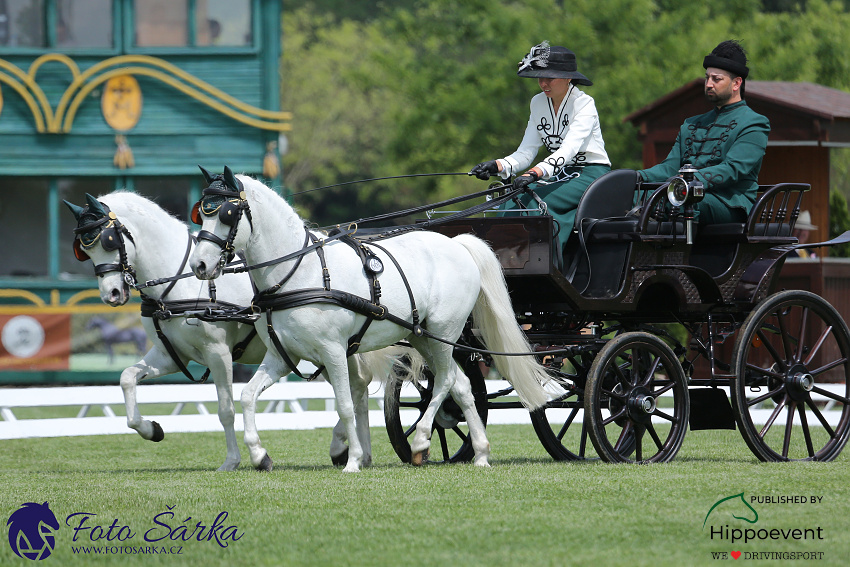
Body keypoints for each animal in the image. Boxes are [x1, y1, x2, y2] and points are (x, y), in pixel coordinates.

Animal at [64, 191, 390, 470]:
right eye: (83, 249)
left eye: (108, 241)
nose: (111, 294)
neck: (183, 284)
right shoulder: (171, 354)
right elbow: (127, 377)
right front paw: (150, 429)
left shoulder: (217, 352)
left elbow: (226, 409)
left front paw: (238, 459)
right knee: (359, 387)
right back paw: (358, 451)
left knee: (355, 387)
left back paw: (347, 446)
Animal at [186, 166, 548, 472]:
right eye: (201, 213)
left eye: (227, 214)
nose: (199, 266)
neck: (299, 272)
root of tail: (458, 245)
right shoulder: (281, 356)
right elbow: (247, 396)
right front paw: (260, 455)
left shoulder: (333, 351)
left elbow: (345, 405)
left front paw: (353, 460)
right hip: (422, 337)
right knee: (461, 386)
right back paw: (481, 453)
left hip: (444, 333)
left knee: (445, 381)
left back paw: (421, 440)